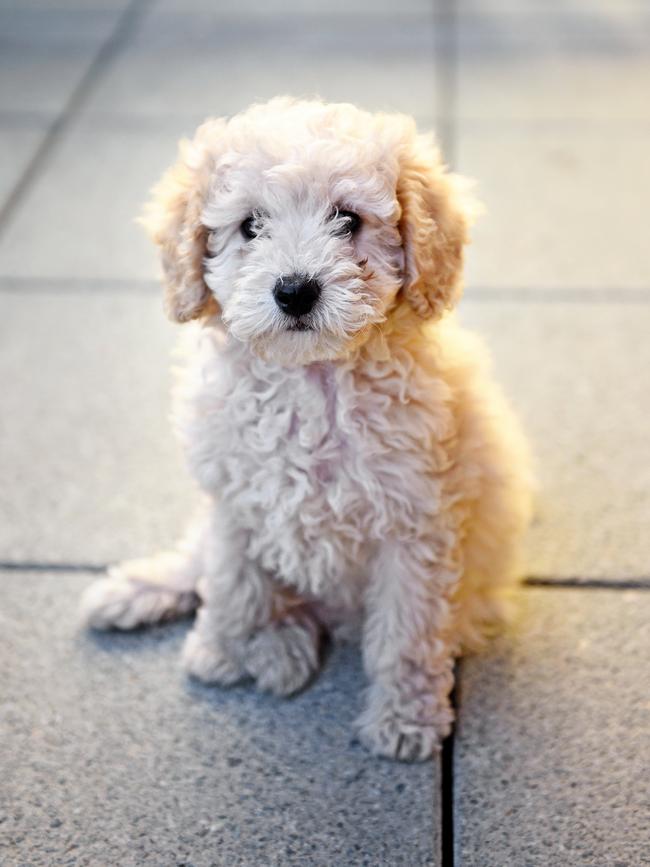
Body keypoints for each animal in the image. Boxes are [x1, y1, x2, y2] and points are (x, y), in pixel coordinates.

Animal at [79, 96, 532, 760]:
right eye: (250, 226)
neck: (311, 381)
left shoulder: (416, 525)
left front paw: (405, 720)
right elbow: (233, 582)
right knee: (198, 564)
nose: (295, 290)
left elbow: (407, 633)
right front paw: (225, 650)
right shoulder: (235, 496)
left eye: (347, 219)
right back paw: (150, 601)